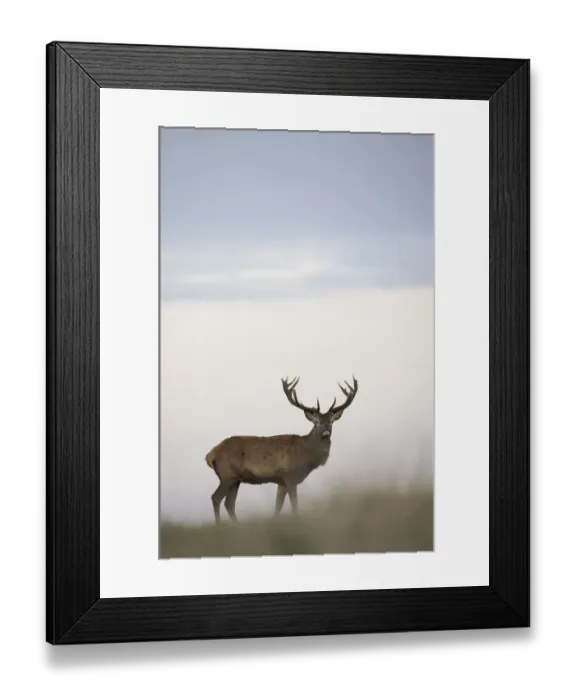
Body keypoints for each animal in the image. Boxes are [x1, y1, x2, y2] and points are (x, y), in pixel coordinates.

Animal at [204, 376, 359, 523]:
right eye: (317, 421)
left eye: (331, 421)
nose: (326, 428)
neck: (306, 454)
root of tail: (210, 455)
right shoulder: (290, 475)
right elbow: (295, 507)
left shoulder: (281, 481)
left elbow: (277, 508)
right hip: (227, 475)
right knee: (216, 498)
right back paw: (219, 525)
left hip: (235, 479)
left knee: (229, 503)